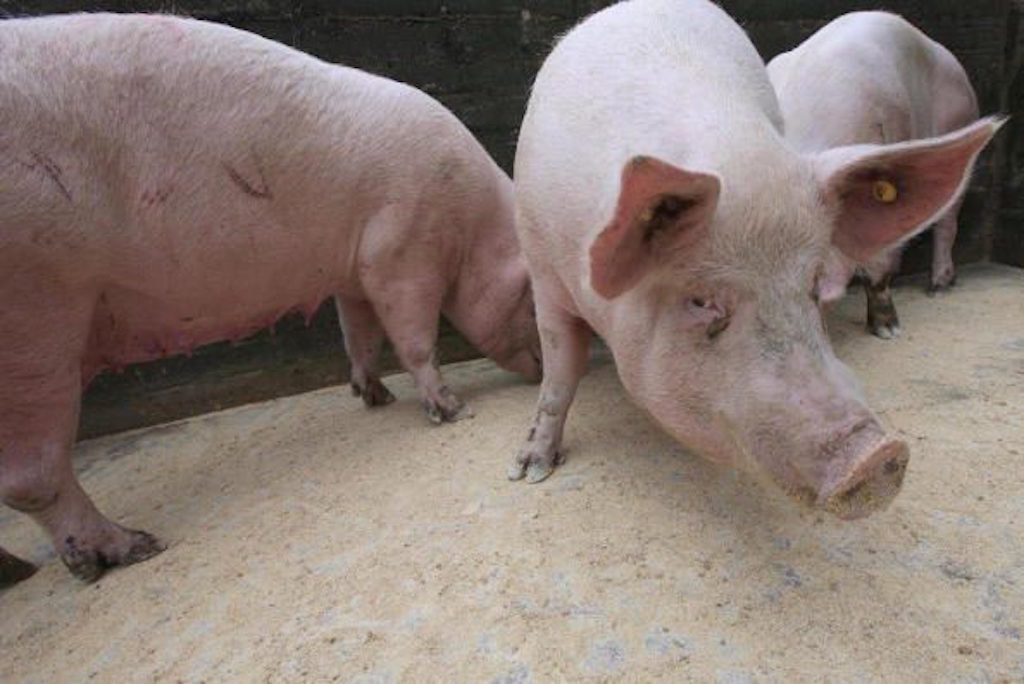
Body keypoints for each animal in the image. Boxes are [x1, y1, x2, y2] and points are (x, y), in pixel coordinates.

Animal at [0, 13, 540, 584]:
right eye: (531, 295)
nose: (546, 369)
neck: (471, 225)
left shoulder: (353, 273)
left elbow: (359, 336)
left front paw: (374, 396)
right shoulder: (400, 250)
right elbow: (413, 337)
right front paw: (453, 410)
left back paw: (20, 571)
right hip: (36, 309)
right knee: (30, 476)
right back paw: (134, 549)